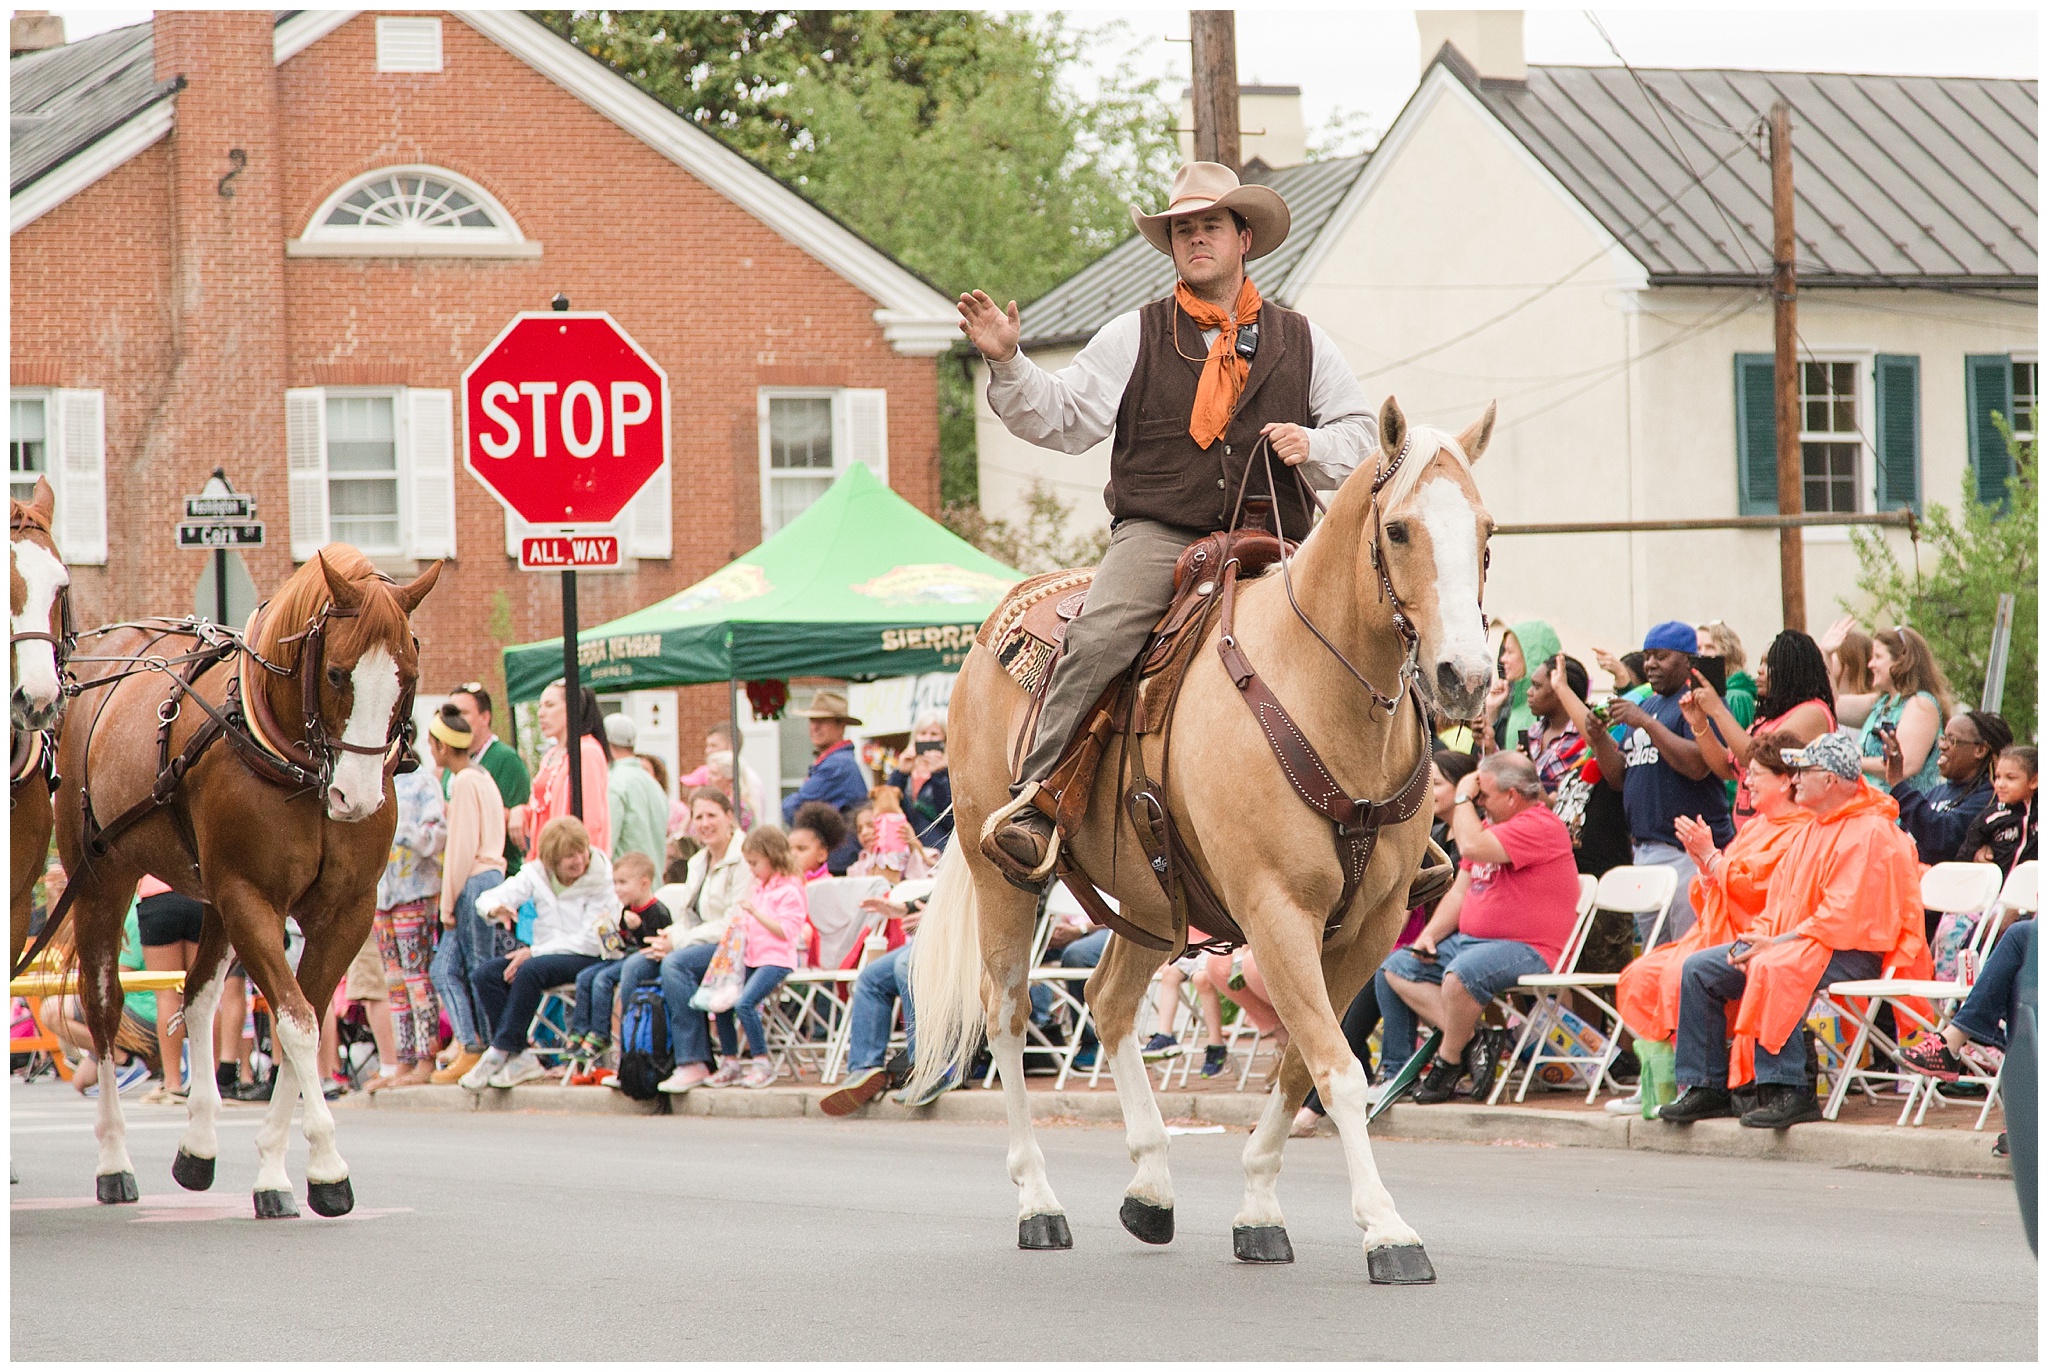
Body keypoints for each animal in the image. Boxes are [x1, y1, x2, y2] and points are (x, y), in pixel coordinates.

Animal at [52, 548, 440, 1212]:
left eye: (408, 676)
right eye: (337, 674)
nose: (357, 798)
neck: (298, 765)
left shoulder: (346, 912)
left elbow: (302, 1017)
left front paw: (279, 1169)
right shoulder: (250, 898)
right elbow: (298, 1023)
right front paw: (326, 1165)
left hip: (207, 899)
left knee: (199, 997)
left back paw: (199, 1146)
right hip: (101, 876)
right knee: (103, 1007)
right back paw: (114, 1160)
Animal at [909, 401, 1490, 1294]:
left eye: (1488, 532)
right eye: (1398, 530)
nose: (1466, 676)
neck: (1319, 694)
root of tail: (1000, 621)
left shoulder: (1369, 927)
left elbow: (1301, 1064)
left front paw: (1258, 1211)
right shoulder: (1278, 912)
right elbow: (1338, 1067)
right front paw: (1387, 1229)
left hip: (1155, 900)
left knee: (1110, 1002)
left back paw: (1151, 1183)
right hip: (1004, 879)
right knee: (1004, 1016)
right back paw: (1039, 1202)